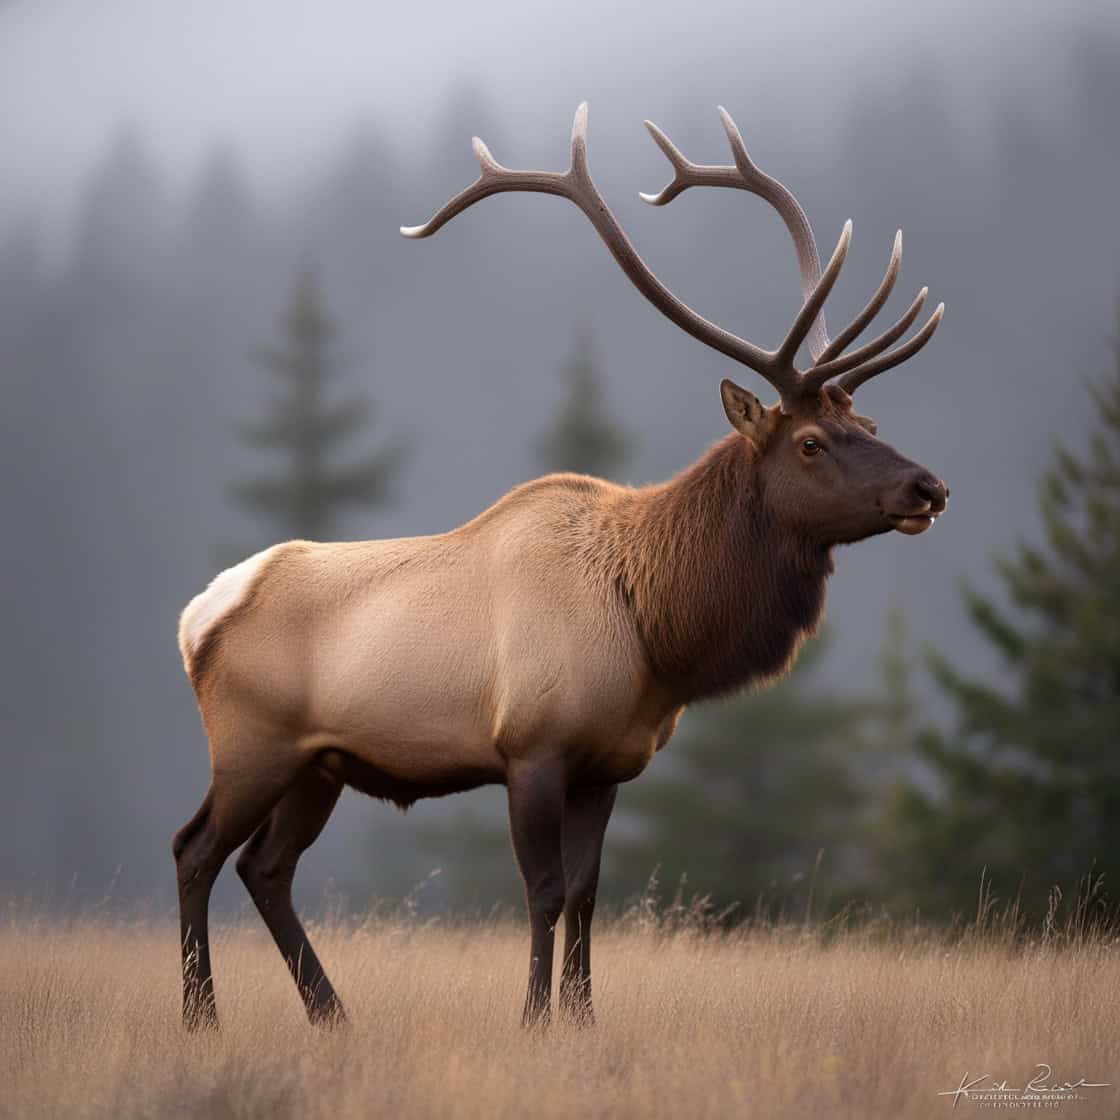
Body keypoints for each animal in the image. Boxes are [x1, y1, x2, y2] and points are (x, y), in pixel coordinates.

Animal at [173, 103, 948, 1032]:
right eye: (810, 441)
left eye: (868, 420)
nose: (928, 486)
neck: (656, 631)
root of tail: (199, 617)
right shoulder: (532, 749)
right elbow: (541, 892)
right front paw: (534, 1018)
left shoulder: (607, 764)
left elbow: (585, 893)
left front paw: (581, 1020)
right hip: (251, 745)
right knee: (195, 850)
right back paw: (202, 1016)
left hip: (317, 764)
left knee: (266, 867)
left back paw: (333, 1014)